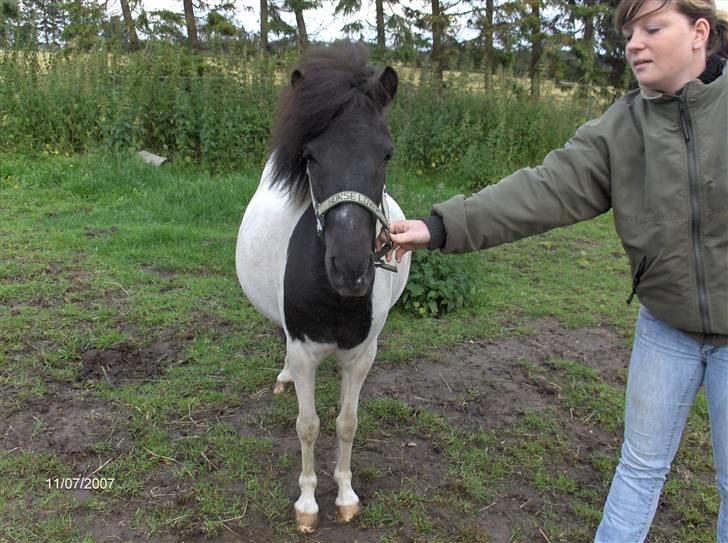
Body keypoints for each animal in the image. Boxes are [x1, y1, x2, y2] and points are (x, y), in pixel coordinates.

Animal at [237, 43, 412, 536]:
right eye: (311, 156)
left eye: (387, 154)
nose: (350, 268)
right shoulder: (303, 352)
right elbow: (309, 425)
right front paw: (307, 504)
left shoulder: (362, 355)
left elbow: (347, 423)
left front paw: (347, 496)